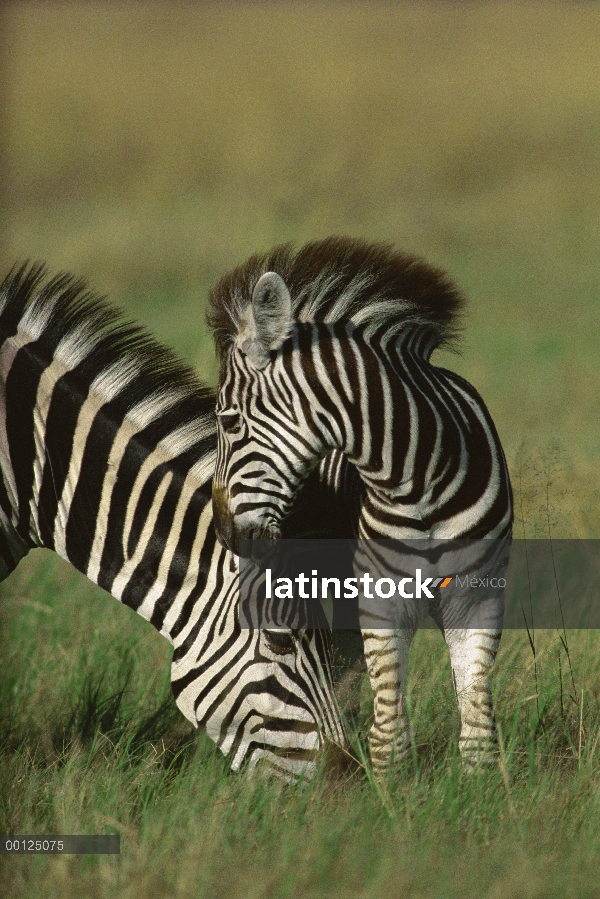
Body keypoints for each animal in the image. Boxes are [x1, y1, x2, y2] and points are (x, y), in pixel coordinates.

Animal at [209, 239, 512, 780]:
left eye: (227, 421)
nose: (224, 532)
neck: (419, 480)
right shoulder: (379, 597)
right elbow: (389, 723)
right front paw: (391, 795)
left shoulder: (479, 596)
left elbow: (476, 718)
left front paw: (481, 792)